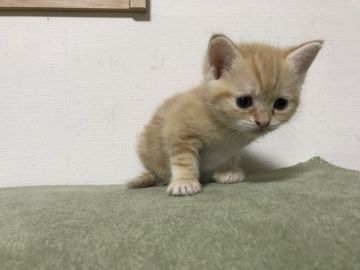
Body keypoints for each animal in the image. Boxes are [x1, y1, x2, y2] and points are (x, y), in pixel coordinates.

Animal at [127, 33, 324, 196]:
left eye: (281, 104)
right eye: (244, 102)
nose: (264, 122)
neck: (227, 131)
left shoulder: (232, 149)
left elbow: (230, 157)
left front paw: (227, 172)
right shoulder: (179, 131)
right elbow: (184, 159)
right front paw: (184, 182)